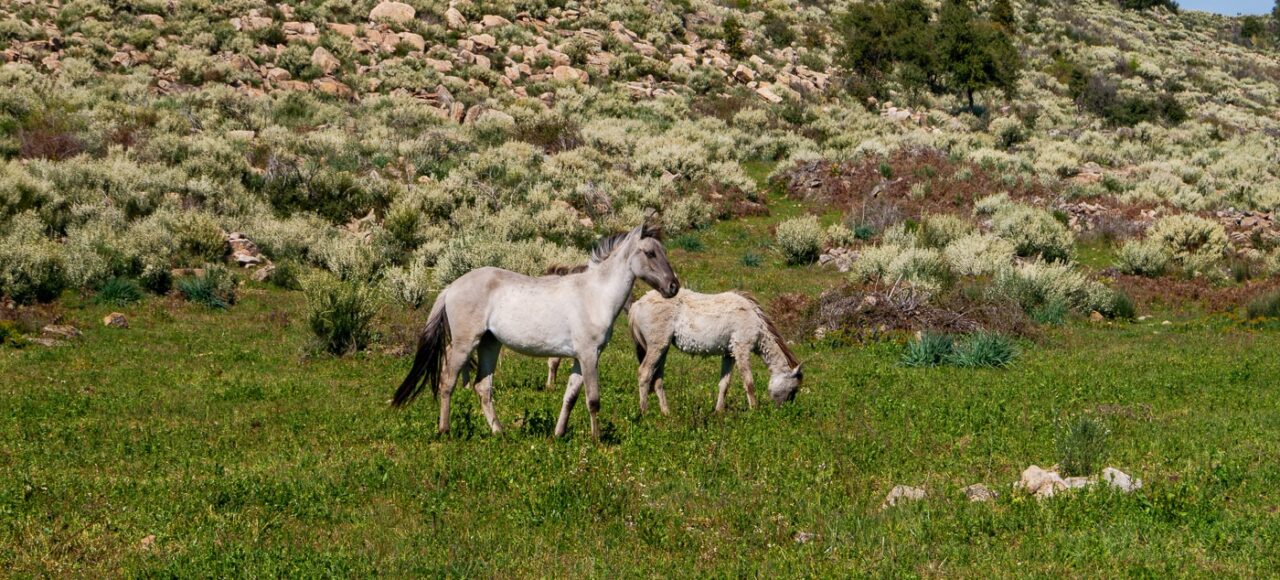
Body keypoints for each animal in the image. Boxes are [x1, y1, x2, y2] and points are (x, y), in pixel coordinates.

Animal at [392, 225, 679, 439]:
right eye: (649, 253)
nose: (673, 286)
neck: (594, 296)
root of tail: (451, 287)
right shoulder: (589, 355)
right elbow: (593, 399)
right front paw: (597, 440)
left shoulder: (579, 358)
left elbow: (570, 397)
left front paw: (559, 434)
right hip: (465, 344)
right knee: (448, 383)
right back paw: (445, 431)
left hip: (489, 345)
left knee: (482, 387)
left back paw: (500, 433)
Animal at [628, 289, 802, 414]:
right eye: (793, 389)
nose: (782, 410)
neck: (754, 320)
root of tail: (636, 305)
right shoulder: (742, 349)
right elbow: (749, 382)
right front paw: (755, 410)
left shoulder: (729, 355)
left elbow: (724, 384)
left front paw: (719, 411)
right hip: (656, 347)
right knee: (644, 373)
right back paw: (644, 412)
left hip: (662, 349)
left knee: (657, 379)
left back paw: (666, 412)